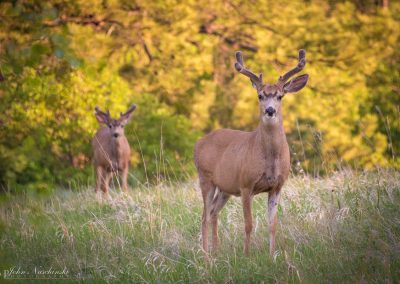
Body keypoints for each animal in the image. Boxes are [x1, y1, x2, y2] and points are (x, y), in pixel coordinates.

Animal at [194, 48, 310, 255]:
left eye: (280, 96)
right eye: (260, 96)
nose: (270, 110)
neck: (269, 159)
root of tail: (198, 143)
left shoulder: (276, 187)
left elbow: (272, 224)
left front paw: (272, 256)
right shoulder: (246, 184)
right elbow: (248, 224)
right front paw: (247, 255)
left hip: (225, 187)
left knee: (214, 211)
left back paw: (216, 252)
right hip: (205, 178)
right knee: (204, 216)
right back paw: (206, 256)